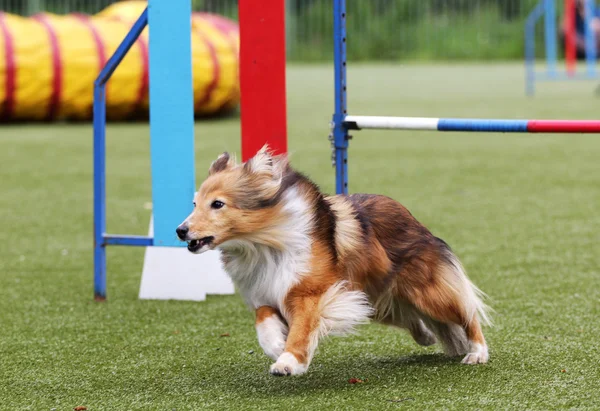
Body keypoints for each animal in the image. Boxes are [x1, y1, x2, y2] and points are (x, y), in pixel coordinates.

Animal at [176, 146, 490, 376]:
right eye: (194, 203)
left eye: (217, 204)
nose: (180, 231)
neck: (264, 244)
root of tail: (414, 220)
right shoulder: (266, 291)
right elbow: (263, 321)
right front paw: (277, 346)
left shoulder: (311, 293)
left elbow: (301, 329)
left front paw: (289, 362)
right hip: (373, 301)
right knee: (415, 319)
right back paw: (427, 336)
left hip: (427, 293)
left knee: (467, 312)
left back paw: (477, 352)